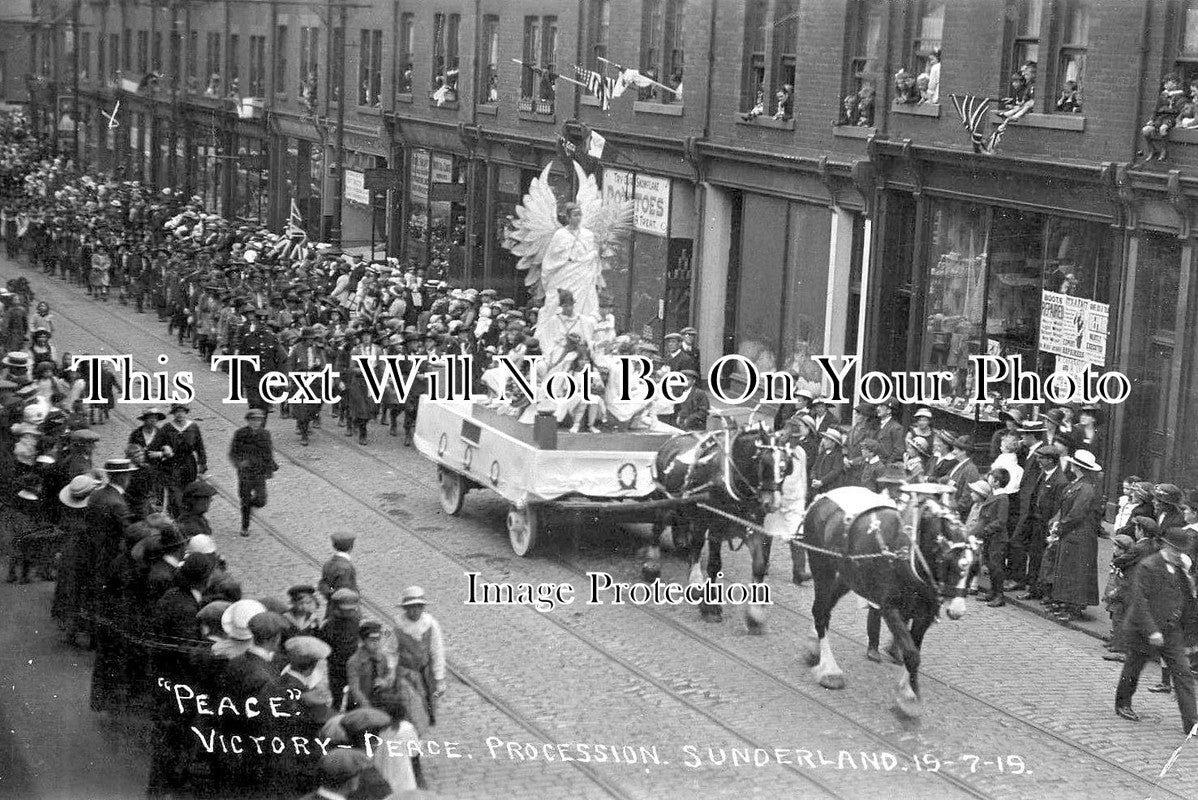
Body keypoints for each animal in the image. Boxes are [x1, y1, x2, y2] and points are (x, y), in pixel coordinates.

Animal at [651, 423, 790, 632]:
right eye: (763, 462)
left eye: (785, 466)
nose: (772, 503)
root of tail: (672, 439)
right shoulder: (717, 527)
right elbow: (714, 566)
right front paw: (710, 607)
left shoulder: (753, 528)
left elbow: (759, 566)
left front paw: (755, 615)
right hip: (668, 504)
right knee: (659, 529)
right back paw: (653, 565)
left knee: (692, 542)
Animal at [800, 488, 977, 718]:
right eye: (950, 564)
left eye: (974, 569)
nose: (957, 610)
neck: (910, 553)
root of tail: (821, 498)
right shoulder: (890, 608)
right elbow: (911, 653)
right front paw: (910, 699)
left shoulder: (924, 613)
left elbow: (914, 651)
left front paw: (907, 692)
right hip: (822, 569)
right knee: (821, 613)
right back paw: (830, 671)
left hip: (847, 577)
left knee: (824, 610)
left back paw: (814, 648)